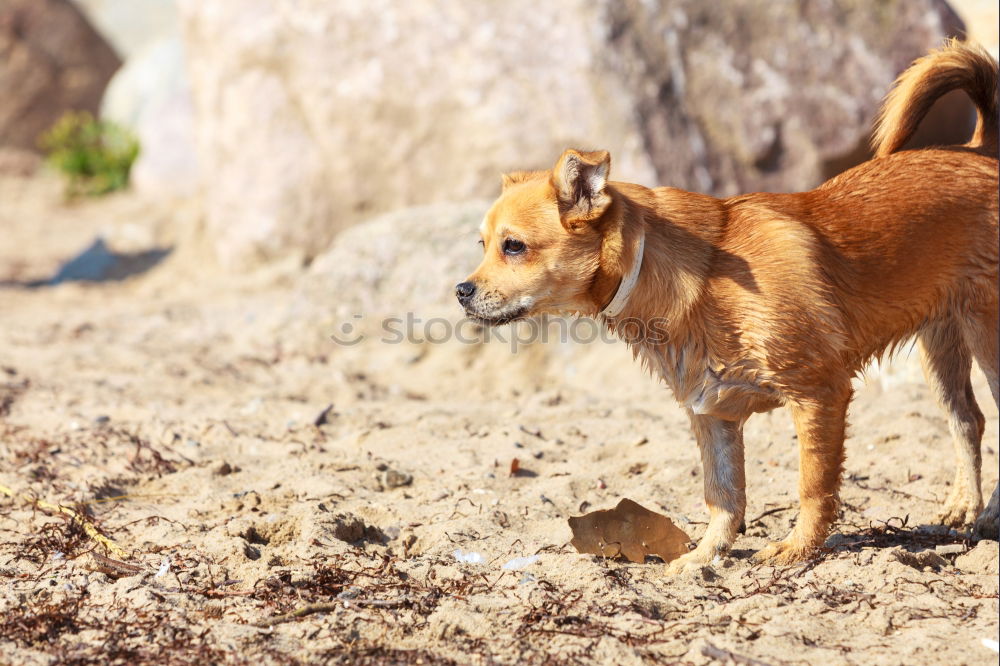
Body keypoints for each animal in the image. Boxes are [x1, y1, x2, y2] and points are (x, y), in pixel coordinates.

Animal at [458, 40, 996, 564]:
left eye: (513, 246)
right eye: (481, 244)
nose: (461, 291)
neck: (690, 274)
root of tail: (979, 150)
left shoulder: (819, 394)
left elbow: (813, 486)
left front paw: (798, 549)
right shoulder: (711, 415)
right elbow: (723, 495)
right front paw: (704, 557)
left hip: (987, 343)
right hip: (939, 348)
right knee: (968, 420)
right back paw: (964, 508)